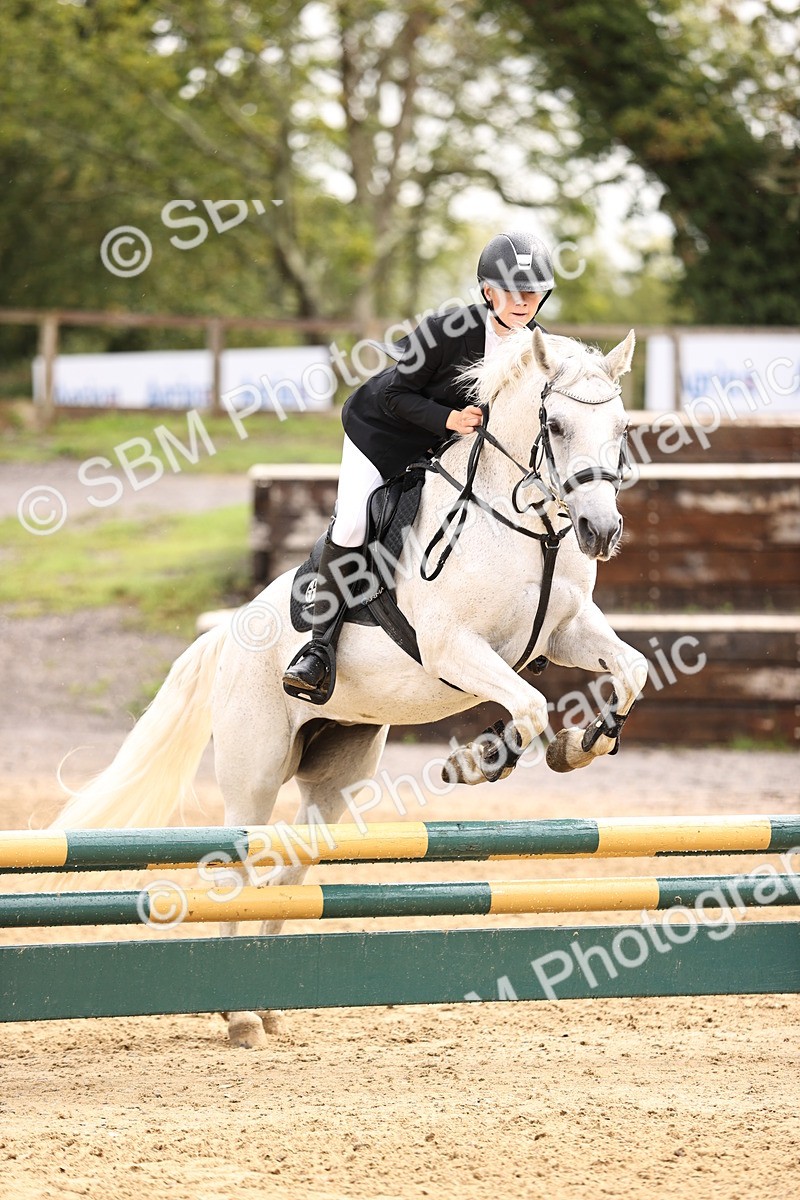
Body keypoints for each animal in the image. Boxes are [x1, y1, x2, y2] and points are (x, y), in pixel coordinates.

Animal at [51, 326, 648, 1048]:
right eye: (555, 425)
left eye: (621, 427)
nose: (602, 532)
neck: (524, 527)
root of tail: (227, 632)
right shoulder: (453, 646)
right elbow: (529, 704)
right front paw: (481, 760)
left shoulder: (565, 633)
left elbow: (632, 670)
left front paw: (581, 745)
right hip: (254, 769)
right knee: (239, 860)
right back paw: (237, 1013)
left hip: (338, 772)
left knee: (294, 865)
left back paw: (264, 999)